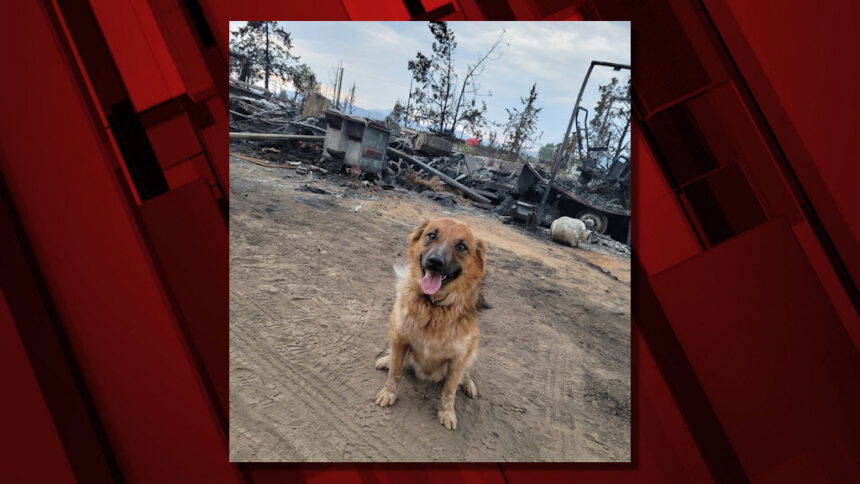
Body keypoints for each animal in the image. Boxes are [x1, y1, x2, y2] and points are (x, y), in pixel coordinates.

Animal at [372, 217, 488, 430]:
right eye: (432, 235)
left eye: (462, 246)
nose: (435, 262)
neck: (434, 307)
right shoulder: (400, 338)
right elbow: (395, 372)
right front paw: (389, 393)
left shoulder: (459, 357)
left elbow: (450, 390)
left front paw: (447, 413)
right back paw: (386, 360)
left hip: (473, 349)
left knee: (466, 373)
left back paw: (468, 384)